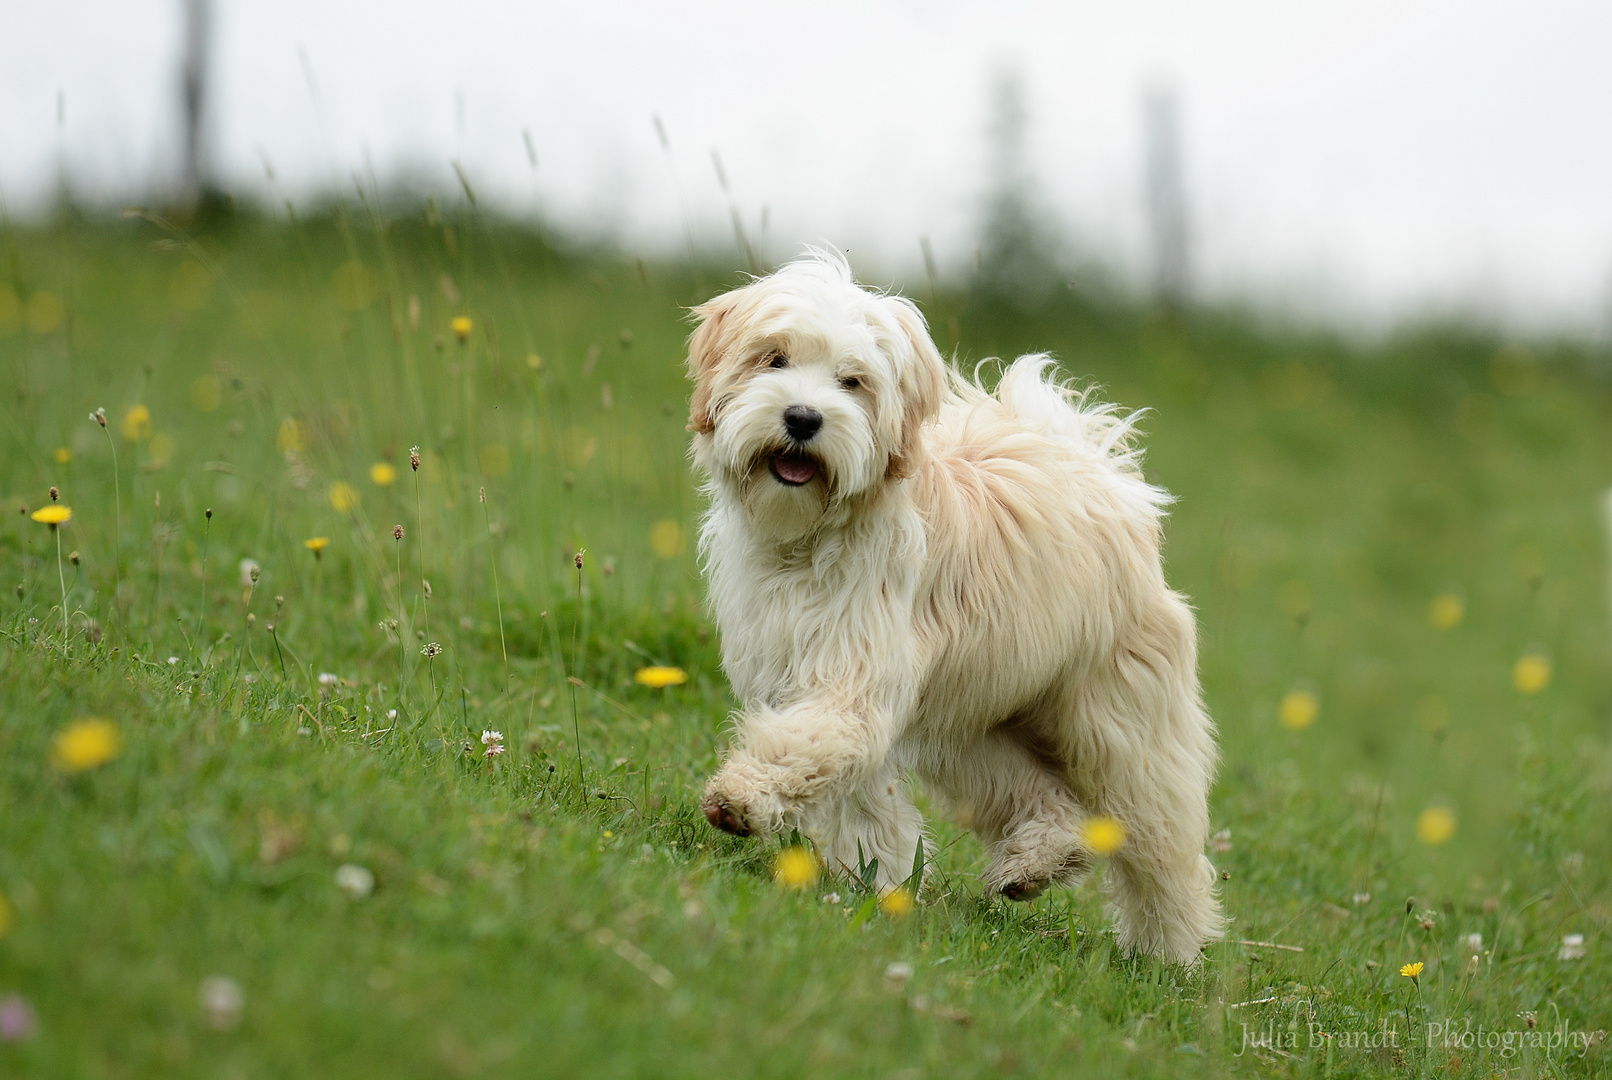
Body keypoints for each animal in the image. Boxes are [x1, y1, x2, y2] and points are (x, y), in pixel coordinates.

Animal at [683, 254, 1218, 967]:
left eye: (853, 382)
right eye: (774, 359)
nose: (802, 418)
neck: (813, 535)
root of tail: (1104, 480)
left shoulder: (852, 678)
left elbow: (812, 742)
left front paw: (741, 798)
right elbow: (862, 792)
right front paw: (876, 882)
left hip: (1122, 728)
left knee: (1163, 838)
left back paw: (1167, 954)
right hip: (975, 724)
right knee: (1045, 797)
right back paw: (1034, 865)